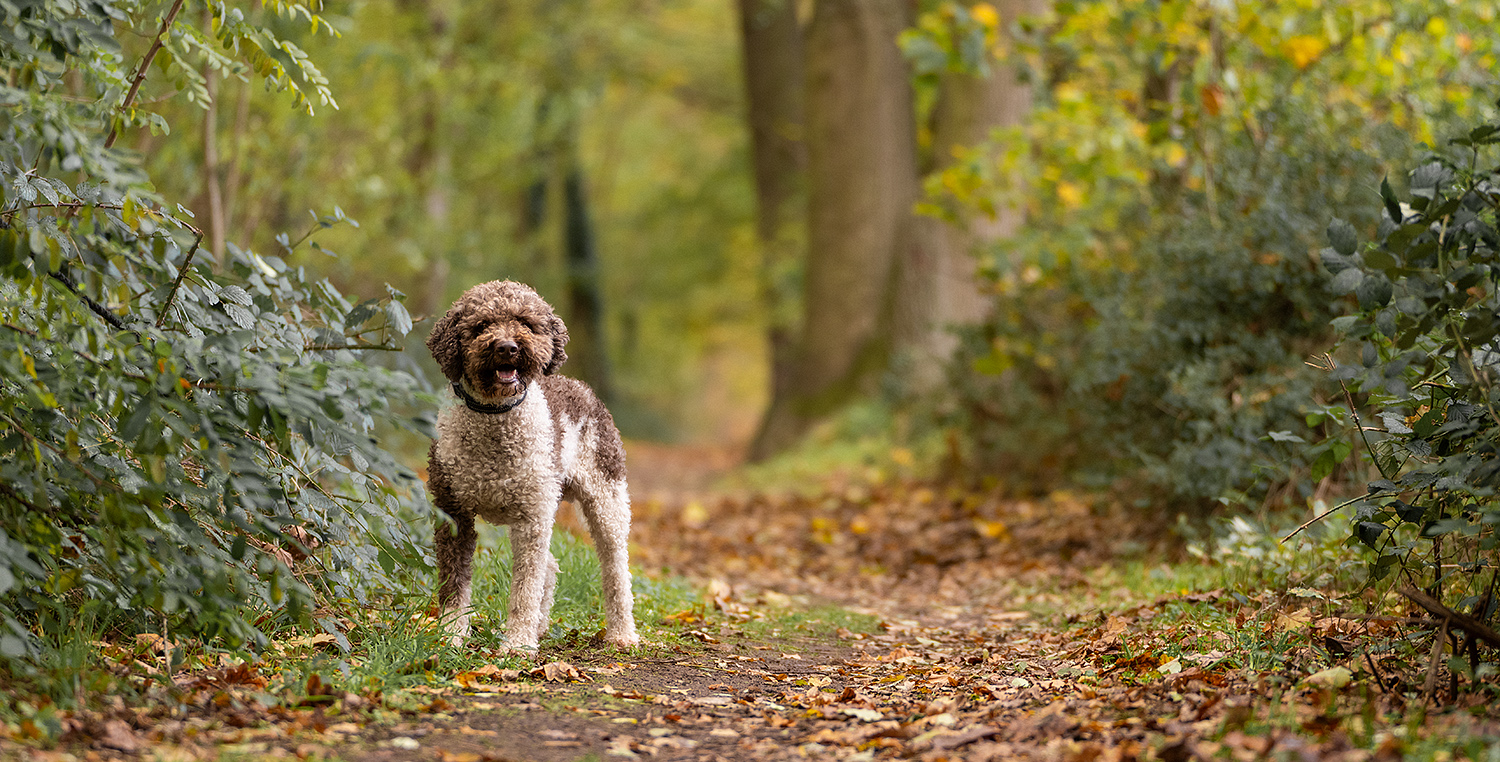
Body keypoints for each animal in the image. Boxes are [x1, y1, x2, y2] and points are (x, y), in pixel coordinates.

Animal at [426, 280, 636, 648]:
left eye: (526, 322)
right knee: (550, 566)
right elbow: (454, 584)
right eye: (481, 325)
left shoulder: (531, 517)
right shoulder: (453, 511)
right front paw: (451, 636)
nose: (507, 348)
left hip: (606, 498)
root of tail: (580, 386)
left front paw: (518, 644)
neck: (495, 417)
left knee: (615, 567)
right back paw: (540, 626)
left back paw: (622, 633)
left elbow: (525, 587)